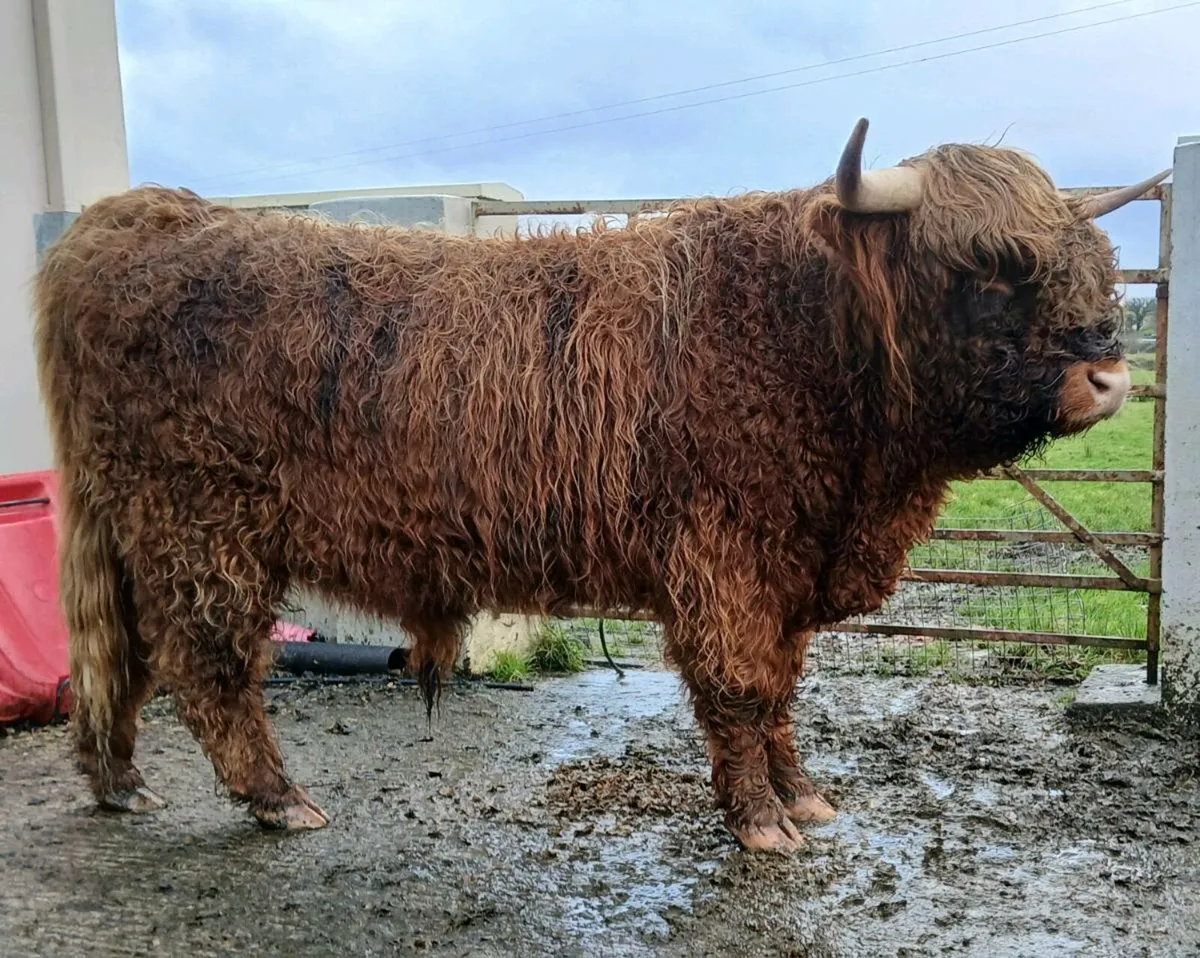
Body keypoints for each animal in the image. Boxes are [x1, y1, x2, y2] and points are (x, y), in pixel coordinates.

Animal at [33, 118, 1165, 852]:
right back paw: (277, 799)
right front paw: (762, 823)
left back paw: (118, 782)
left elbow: (784, 690)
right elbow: (741, 688)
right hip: (197, 524)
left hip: (131, 524)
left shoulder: (788, 567)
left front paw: (803, 798)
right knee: (208, 664)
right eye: (990, 264)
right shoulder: (724, 554)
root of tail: (138, 218)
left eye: (1089, 253)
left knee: (118, 653)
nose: (1110, 374)